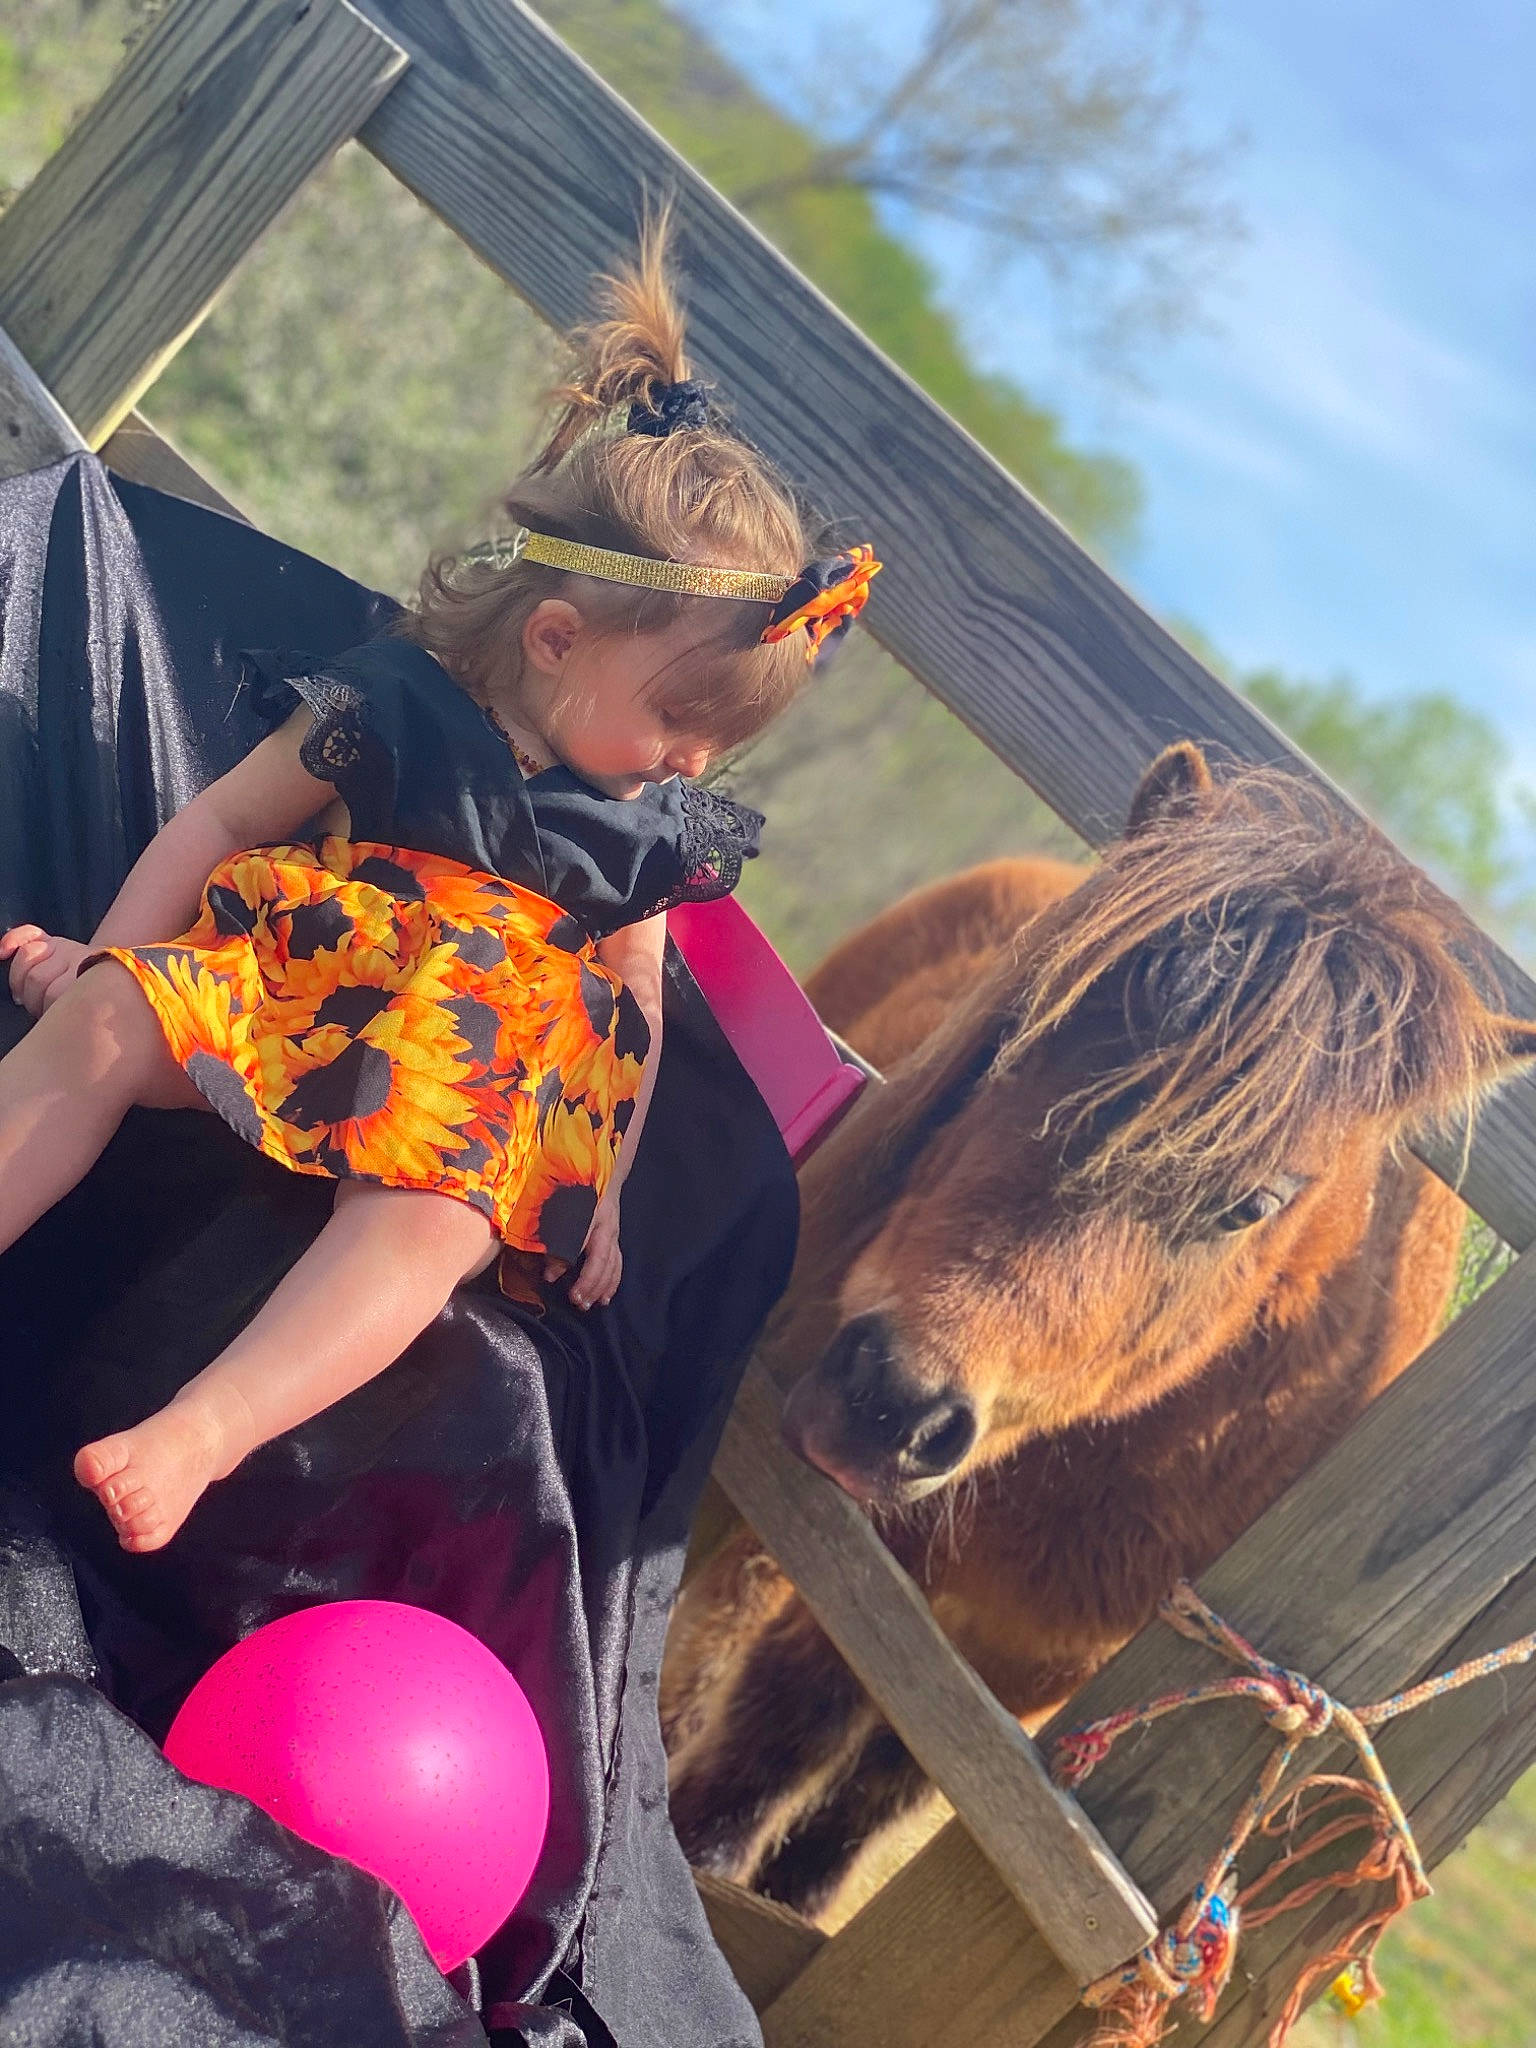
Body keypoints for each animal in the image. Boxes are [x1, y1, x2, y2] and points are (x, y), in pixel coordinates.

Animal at [661, 743, 1536, 1923]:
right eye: (1023, 1038)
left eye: (1254, 1201)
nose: (889, 1401)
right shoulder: (860, 1556)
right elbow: (758, 1756)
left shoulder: (1023, 1670)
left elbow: (844, 1822)